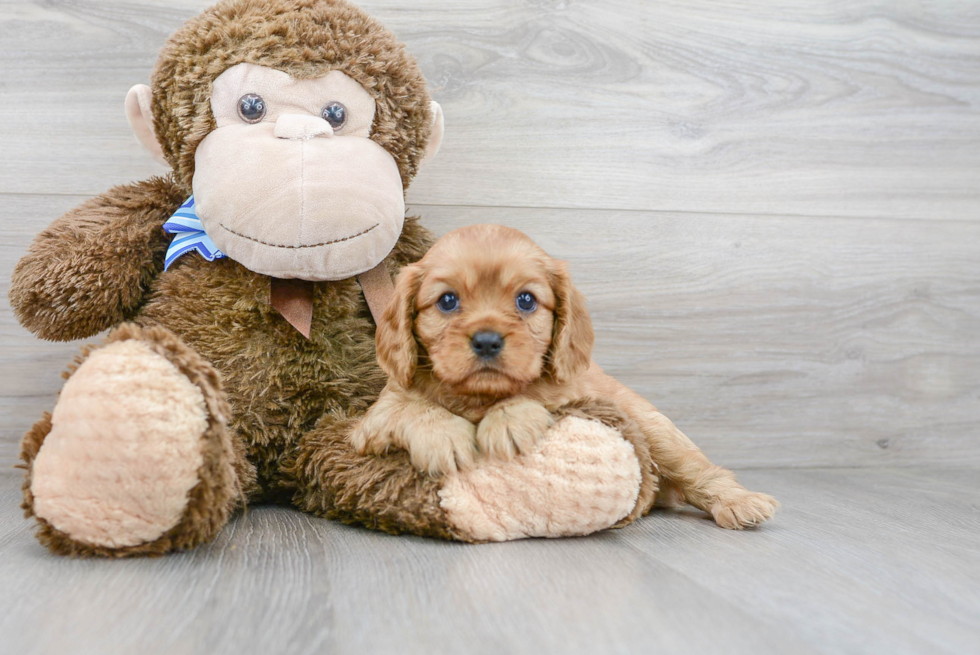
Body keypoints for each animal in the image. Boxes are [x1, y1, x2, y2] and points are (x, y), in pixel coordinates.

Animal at [350, 224, 772, 528]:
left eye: (526, 300)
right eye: (447, 301)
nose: (487, 341)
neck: (479, 397)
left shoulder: (579, 396)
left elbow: (536, 393)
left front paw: (507, 422)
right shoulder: (370, 424)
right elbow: (411, 407)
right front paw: (446, 437)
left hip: (657, 432)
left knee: (700, 471)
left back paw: (741, 503)